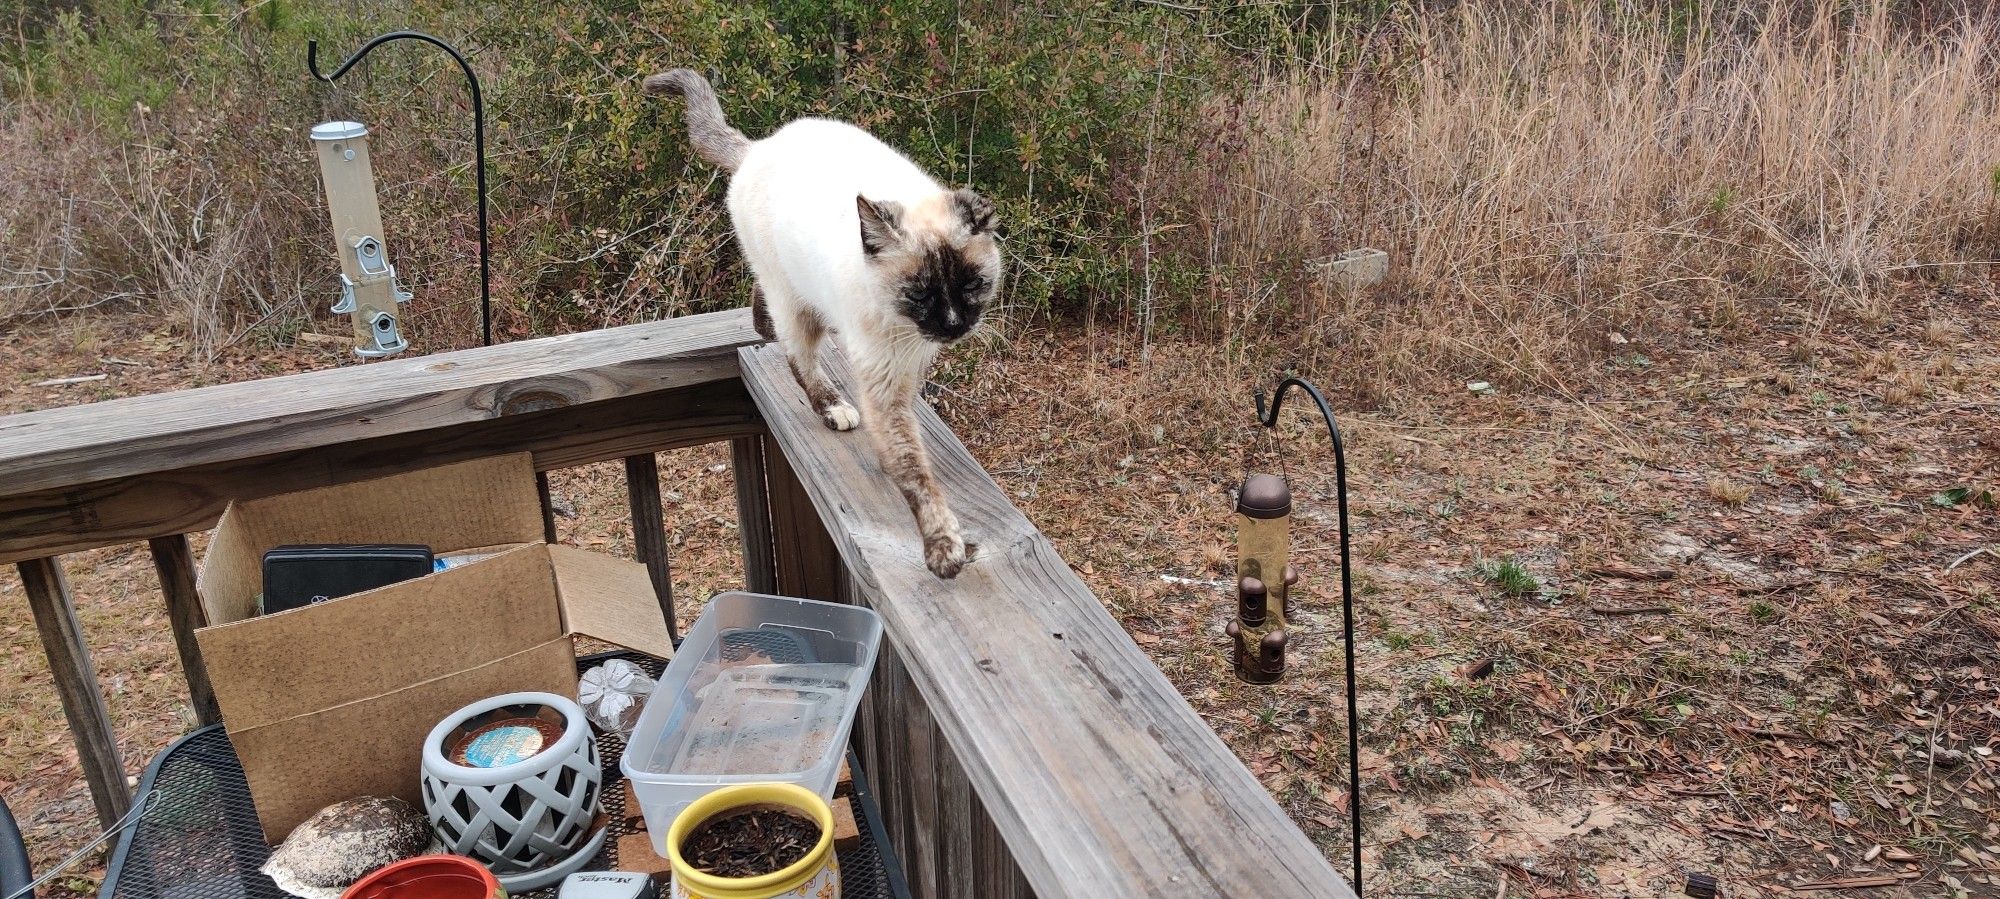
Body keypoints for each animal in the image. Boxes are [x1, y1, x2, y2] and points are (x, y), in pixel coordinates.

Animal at [644, 68, 996, 575]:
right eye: (919, 294)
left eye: (971, 286)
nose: (952, 325)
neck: (909, 333)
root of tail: (757, 148)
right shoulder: (885, 379)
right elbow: (913, 469)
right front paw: (944, 547)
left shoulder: (911, 362)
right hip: (795, 305)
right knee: (796, 353)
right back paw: (832, 407)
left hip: (787, 287)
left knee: (764, 308)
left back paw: (761, 325)